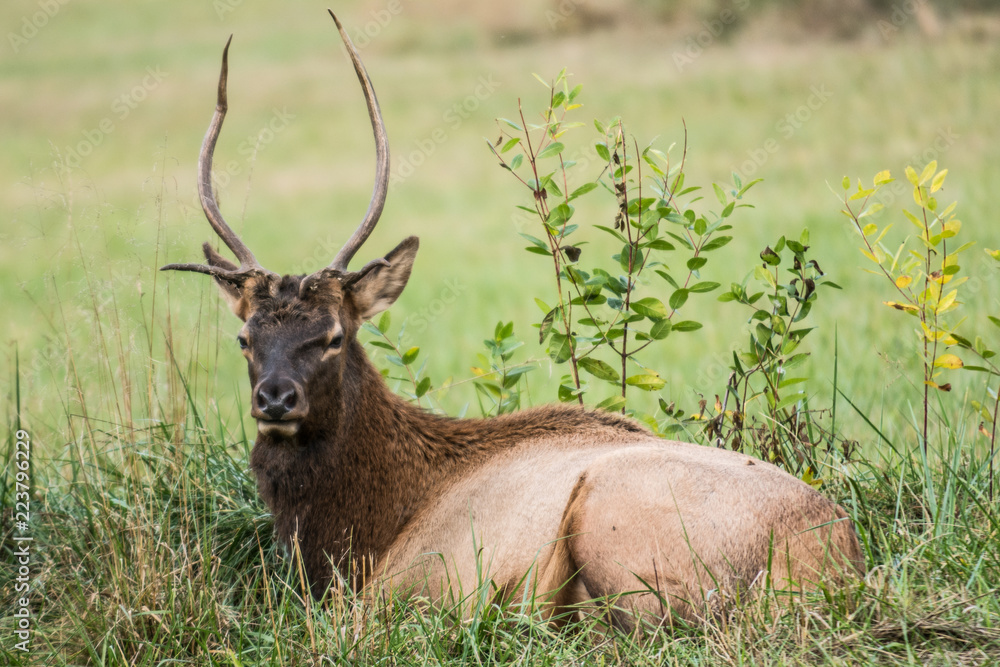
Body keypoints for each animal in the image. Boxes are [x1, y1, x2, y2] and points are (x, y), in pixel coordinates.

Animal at [162, 11, 866, 629]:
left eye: (333, 336)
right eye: (245, 337)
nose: (275, 399)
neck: (362, 531)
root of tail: (831, 559)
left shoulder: (399, 594)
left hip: (620, 527)